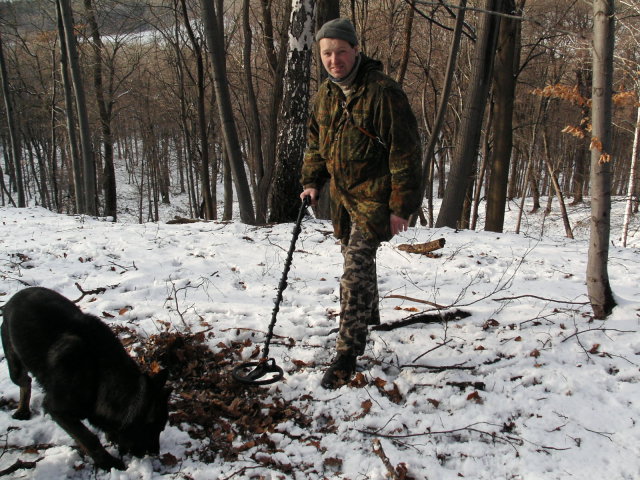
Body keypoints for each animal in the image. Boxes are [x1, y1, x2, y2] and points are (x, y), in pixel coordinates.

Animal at [1, 286, 171, 470]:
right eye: (154, 428)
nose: (155, 453)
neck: (99, 373)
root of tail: (16, 296)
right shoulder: (57, 409)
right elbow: (89, 438)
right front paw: (108, 462)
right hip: (15, 367)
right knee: (25, 381)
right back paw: (22, 410)